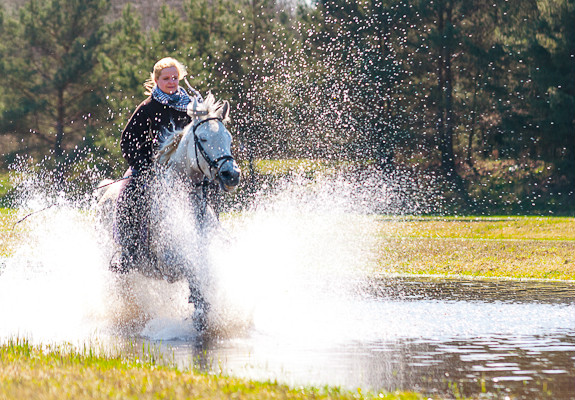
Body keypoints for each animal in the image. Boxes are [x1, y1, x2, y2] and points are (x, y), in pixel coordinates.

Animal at [97, 93, 241, 328]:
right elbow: (194, 271)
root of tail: (104, 193)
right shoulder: (170, 262)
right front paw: (199, 310)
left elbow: (208, 273)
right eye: (203, 139)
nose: (231, 175)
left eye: (228, 138)